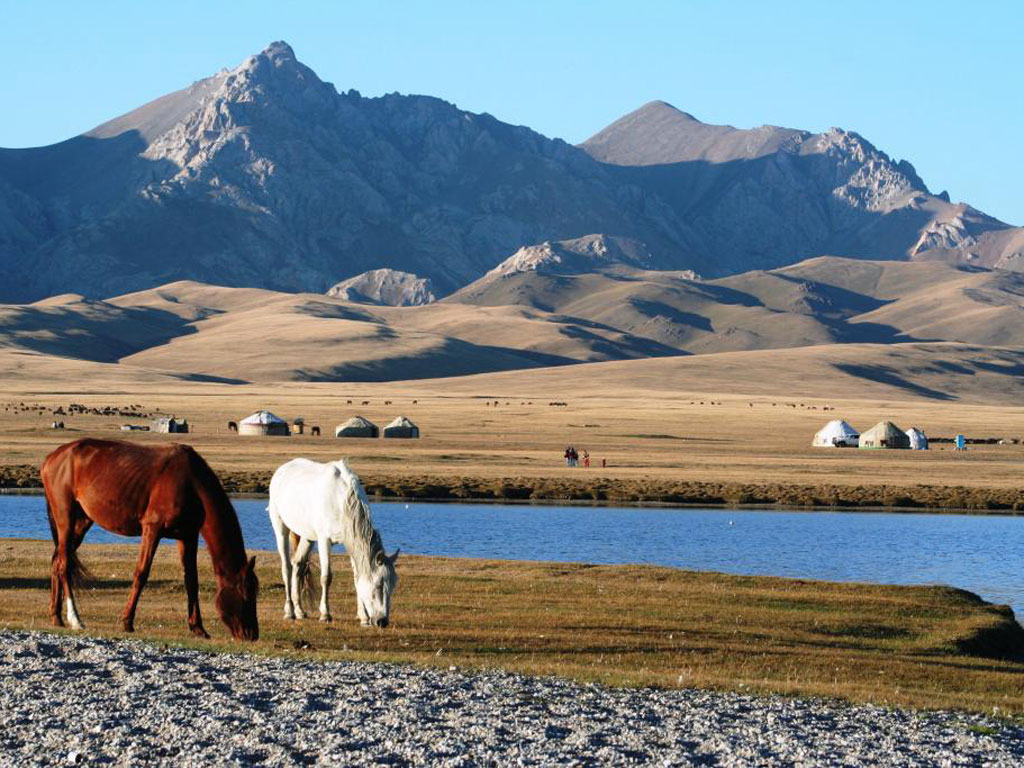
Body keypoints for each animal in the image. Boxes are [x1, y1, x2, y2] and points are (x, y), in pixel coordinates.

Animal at [42, 438, 260, 643]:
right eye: (246, 594)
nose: (252, 634)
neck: (191, 485)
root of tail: (52, 458)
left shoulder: (187, 536)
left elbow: (191, 580)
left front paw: (198, 628)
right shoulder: (152, 530)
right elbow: (141, 574)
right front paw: (127, 622)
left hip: (82, 522)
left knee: (57, 562)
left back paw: (56, 616)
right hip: (66, 518)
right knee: (64, 564)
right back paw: (75, 619)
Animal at [270, 460, 397, 626]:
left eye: (392, 586)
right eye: (378, 585)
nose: (382, 621)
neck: (342, 501)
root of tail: (281, 470)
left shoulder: (350, 542)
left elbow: (357, 578)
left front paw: (363, 617)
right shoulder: (324, 540)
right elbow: (326, 577)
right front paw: (325, 614)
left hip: (307, 537)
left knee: (298, 564)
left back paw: (299, 611)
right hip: (280, 528)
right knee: (287, 568)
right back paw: (290, 611)